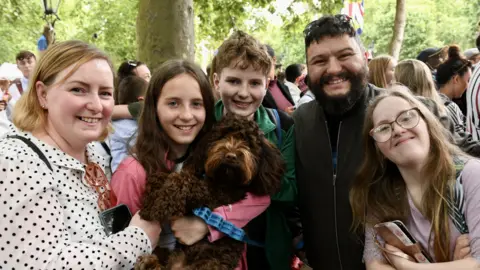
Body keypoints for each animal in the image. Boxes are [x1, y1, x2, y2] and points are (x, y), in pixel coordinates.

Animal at [135, 114, 284, 270]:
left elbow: (183, 180)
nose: (231, 156)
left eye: (248, 142)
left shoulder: (215, 196)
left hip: (210, 263)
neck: (223, 180)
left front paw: (159, 206)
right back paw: (148, 262)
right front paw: (150, 200)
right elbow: (159, 176)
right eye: (222, 136)